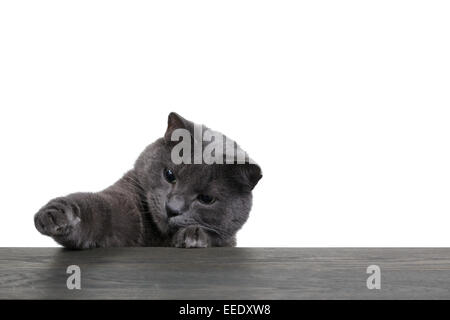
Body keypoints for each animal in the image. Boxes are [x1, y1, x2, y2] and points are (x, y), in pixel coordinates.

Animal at [34, 112, 260, 250]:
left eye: (206, 199)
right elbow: (99, 209)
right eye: (169, 175)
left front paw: (194, 236)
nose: (172, 209)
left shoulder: (228, 240)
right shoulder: (125, 199)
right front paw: (58, 216)